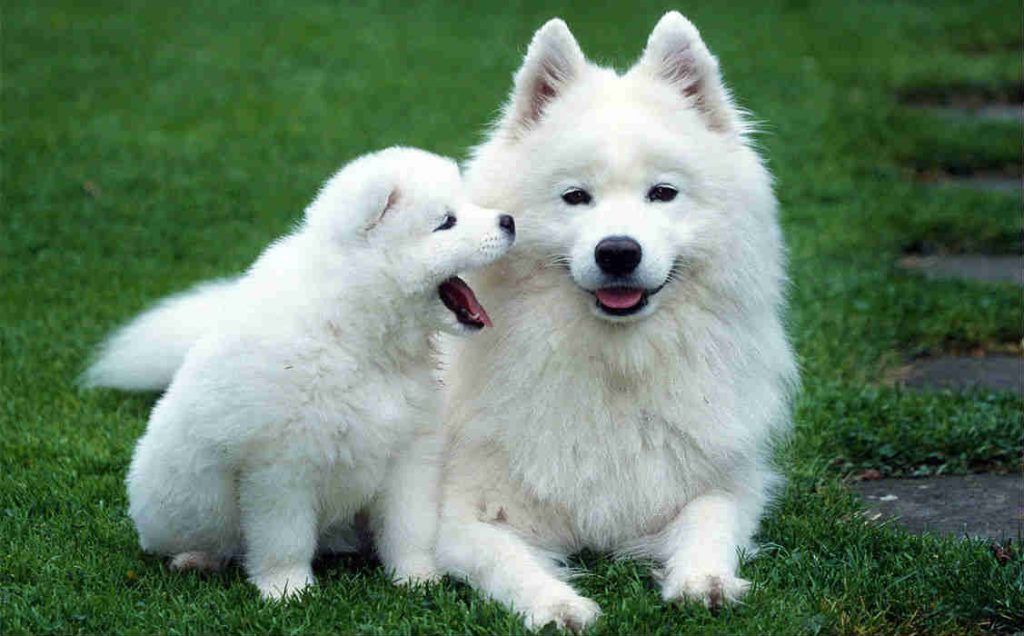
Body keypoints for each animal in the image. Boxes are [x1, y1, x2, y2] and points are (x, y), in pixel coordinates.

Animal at [87, 146, 516, 598]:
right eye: (446, 222)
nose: (508, 220)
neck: (356, 333)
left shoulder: (409, 451)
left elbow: (409, 526)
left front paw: (417, 578)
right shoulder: (281, 465)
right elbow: (284, 537)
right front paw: (288, 589)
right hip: (176, 498)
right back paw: (195, 559)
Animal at [432, 11, 798, 630]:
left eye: (663, 193)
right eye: (576, 196)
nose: (618, 251)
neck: (616, 367)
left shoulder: (723, 483)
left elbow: (710, 520)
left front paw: (703, 581)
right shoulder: (458, 514)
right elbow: (505, 559)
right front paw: (556, 604)